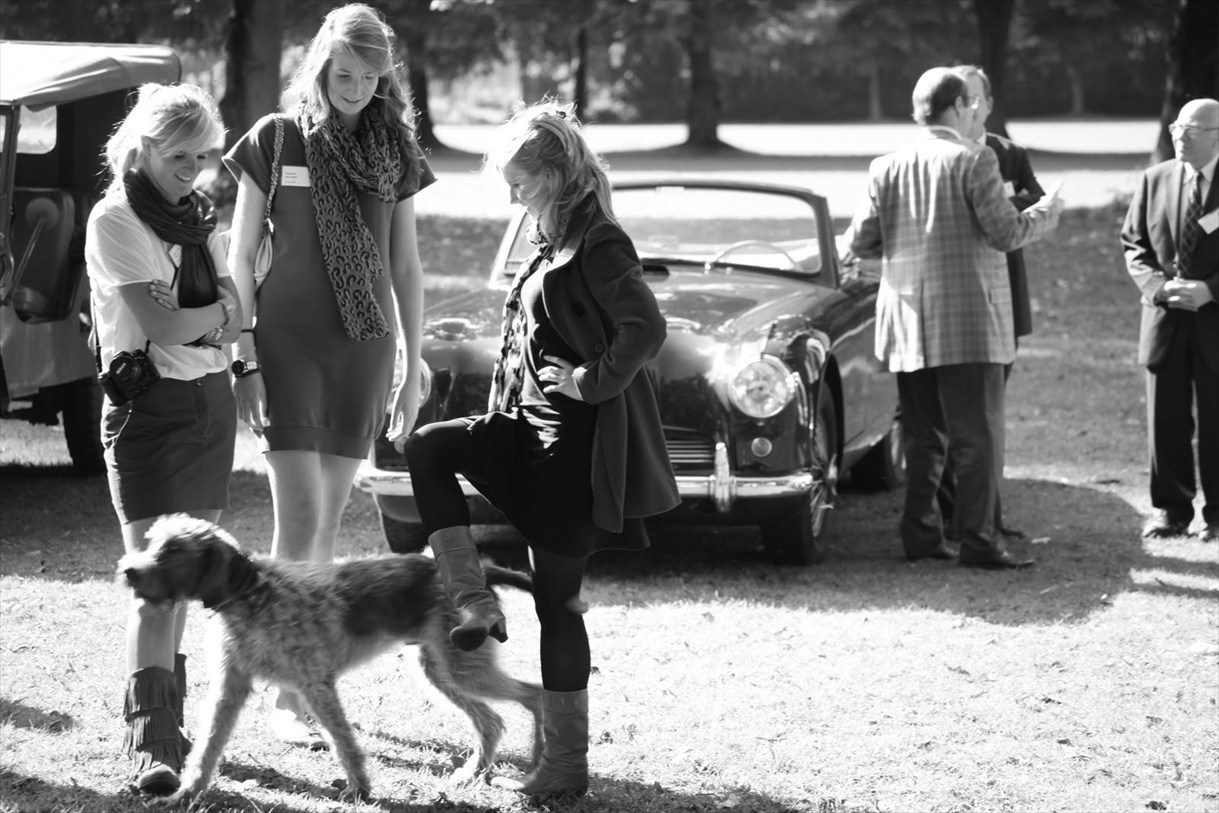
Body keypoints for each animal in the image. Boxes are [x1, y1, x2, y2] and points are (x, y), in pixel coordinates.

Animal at [118, 515, 543, 805]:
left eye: (173, 551)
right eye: (150, 542)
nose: (127, 570)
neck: (251, 595)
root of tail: (479, 572)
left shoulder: (316, 684)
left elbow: (343, 741)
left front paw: (359, 788)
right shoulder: (229, 688)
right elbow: (207, 749)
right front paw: (185, 794)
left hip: (461, 668)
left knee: (534, 694)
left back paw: (537, 767)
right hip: (442, 670)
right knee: (492, 720)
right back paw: (476, 773)